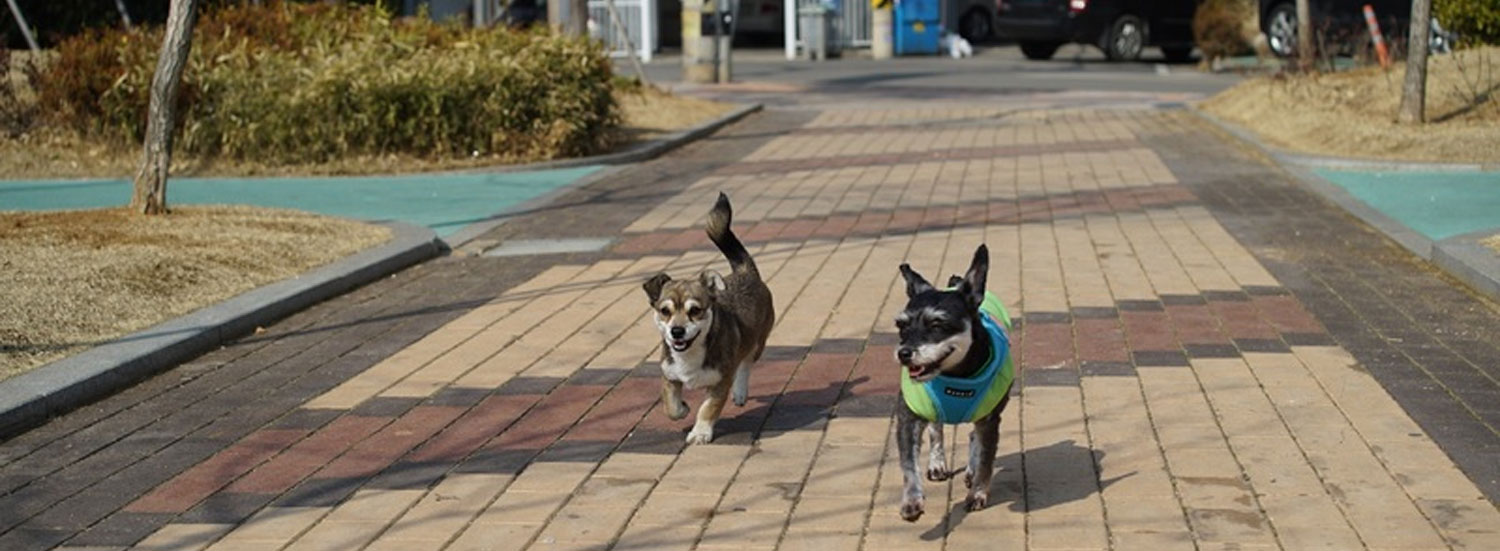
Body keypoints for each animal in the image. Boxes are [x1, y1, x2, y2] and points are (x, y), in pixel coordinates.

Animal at [894, 244, 1014, 522]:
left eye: (938, 324)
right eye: (901, 326)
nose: (904, 353)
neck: (956, 376)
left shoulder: (990, 419)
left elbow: (986, 461)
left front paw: (977, 494)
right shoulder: (908, 417)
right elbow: (909, 464)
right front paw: (912, 499)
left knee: (972, 436)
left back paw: (970, 470)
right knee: (936, 429)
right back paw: (937, 463)